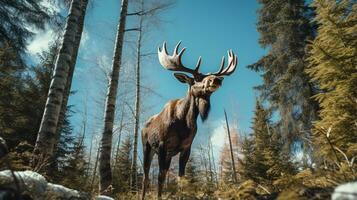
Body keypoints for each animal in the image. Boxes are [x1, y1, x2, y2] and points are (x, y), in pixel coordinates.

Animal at [140, 41, 236, 198]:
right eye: (195, 79)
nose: (216, 79)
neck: (183, 124)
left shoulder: (186, 147)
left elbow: (181, 177)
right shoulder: (162, 144)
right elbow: (160, 176)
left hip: (168, 154)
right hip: (147, 147)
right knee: (146, 176)